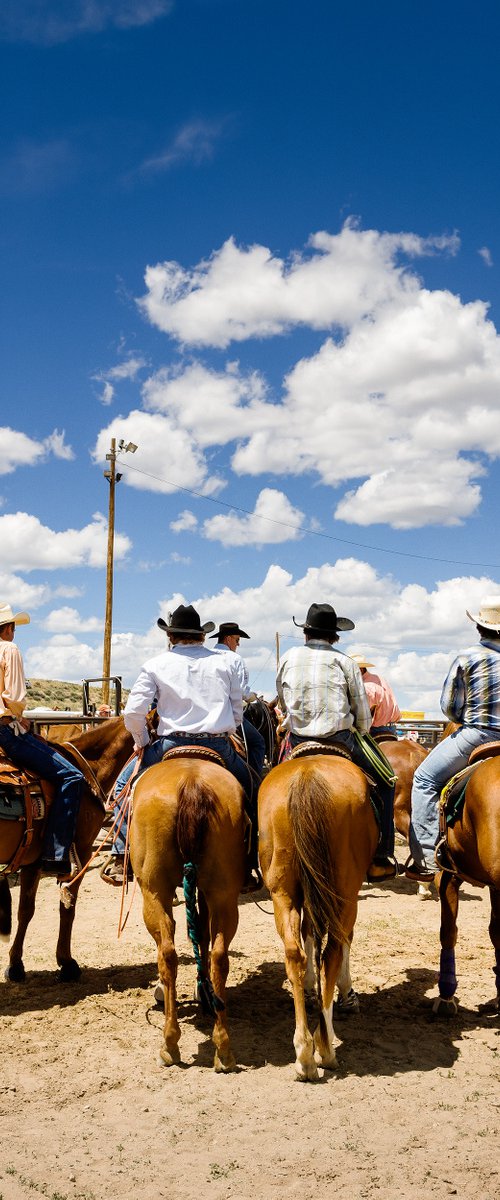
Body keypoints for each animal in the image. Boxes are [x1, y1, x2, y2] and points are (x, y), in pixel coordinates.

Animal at [0, 715, 133, 979]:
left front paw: (16, 965)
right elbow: (68, 905)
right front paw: (67, 962)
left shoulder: (32, 860)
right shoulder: (81, 851)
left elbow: (25, 910)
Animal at [128, 753, 245, 1075]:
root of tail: (192, 785)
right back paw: (223, 1048)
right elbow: (202, 934)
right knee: (218, 955)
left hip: (153, 890)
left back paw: (170, 1044)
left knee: (166, 953)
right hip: (223, 892)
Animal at [256, 753, 378, 1084]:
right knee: (334, 949)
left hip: (282, 891)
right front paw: (347, 994)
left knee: (294, 953)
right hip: (345, 892)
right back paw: (325, 1047)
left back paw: (303, 1053)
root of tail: (306, 777)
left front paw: (311, 987)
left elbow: (309, 935)